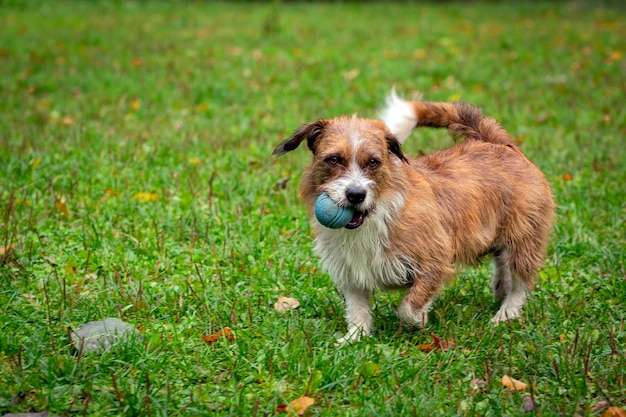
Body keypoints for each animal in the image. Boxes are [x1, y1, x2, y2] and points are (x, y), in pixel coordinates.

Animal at [272, 90, 552, 342]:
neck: (375, 217)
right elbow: (357, 309)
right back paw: (501, 288)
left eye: (373, 162)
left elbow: (408, 307)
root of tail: (495, 142)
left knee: (521, 280)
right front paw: (355, 338)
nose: (356, 194)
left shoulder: (435, 260)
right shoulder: (350, 272)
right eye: (333, 160)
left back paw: (507, 312)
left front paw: (419, 321)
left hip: (525, 238)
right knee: (501, 259)